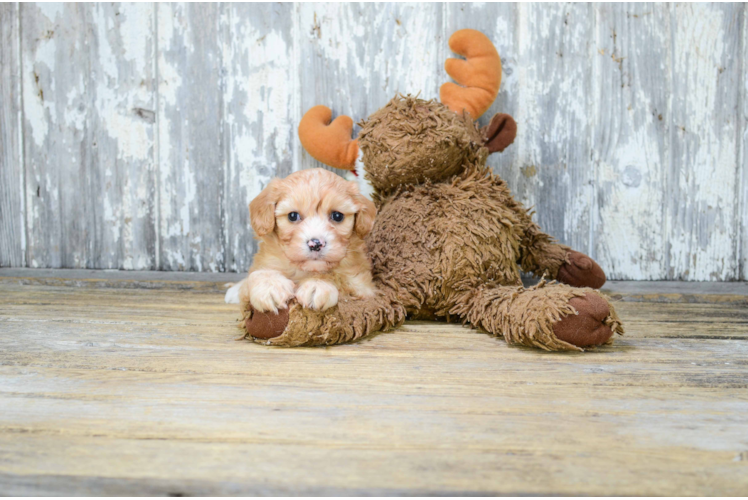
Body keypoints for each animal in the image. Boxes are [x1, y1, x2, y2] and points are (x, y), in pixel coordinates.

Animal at [225, 170, 376, 314]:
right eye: (293, 216)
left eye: (337, 216)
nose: (316, 244)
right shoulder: (267, 259)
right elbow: (259, 272)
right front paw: (271, 285)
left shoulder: (363, 286)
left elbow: (339, 278)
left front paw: (318, 284)